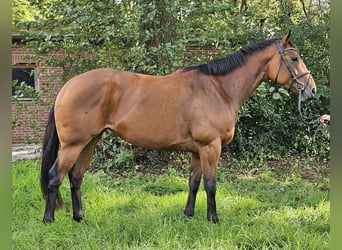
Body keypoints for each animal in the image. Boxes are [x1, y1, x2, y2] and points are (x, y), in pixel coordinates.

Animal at [41, 30, 316, 223]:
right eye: (294, 58)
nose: (311, 90)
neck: (219, 89)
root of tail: (68, 86)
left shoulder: (197, 150)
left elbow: (194, 182)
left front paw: (188, 214)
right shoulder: (210, 147)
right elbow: (210, 184)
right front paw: (213, 219)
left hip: (90, 141)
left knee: (76, 177)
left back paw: (79, 217)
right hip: (73, 145)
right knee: (55, 177)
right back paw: (49, 219)